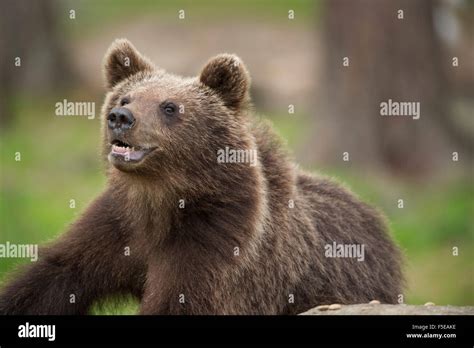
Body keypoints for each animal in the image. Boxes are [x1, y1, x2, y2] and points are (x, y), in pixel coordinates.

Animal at [0, 39, 404, 314]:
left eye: (169, 107)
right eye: (126, 97)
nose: (120, 117)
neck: (159, 198)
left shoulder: (215, 242)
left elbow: (181, 299)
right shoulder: (115, 226)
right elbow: (54, 274)